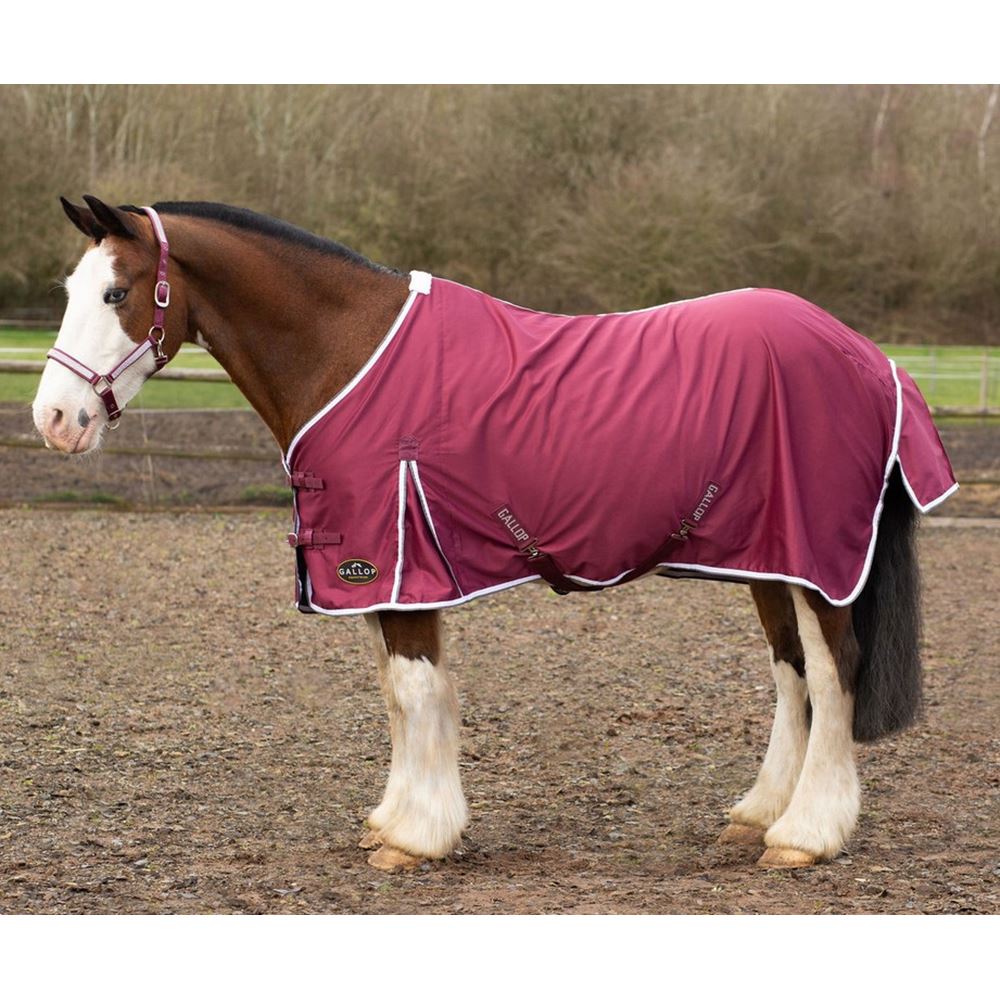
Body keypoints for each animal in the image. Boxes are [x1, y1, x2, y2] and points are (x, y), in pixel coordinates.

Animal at [32, 196, 957, 873]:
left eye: (117, 294)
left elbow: (415, 691)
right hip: (770, 558)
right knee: (792, 672)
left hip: (816, 561)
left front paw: (418, 838)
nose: (53, 420)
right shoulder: (384, 573)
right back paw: (760, 815)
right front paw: (394, 820)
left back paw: (806, 836)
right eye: (71, 293)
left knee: (834, 671)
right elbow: (399, 695)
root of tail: (871, 358)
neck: (347, 351)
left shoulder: (396, 563)